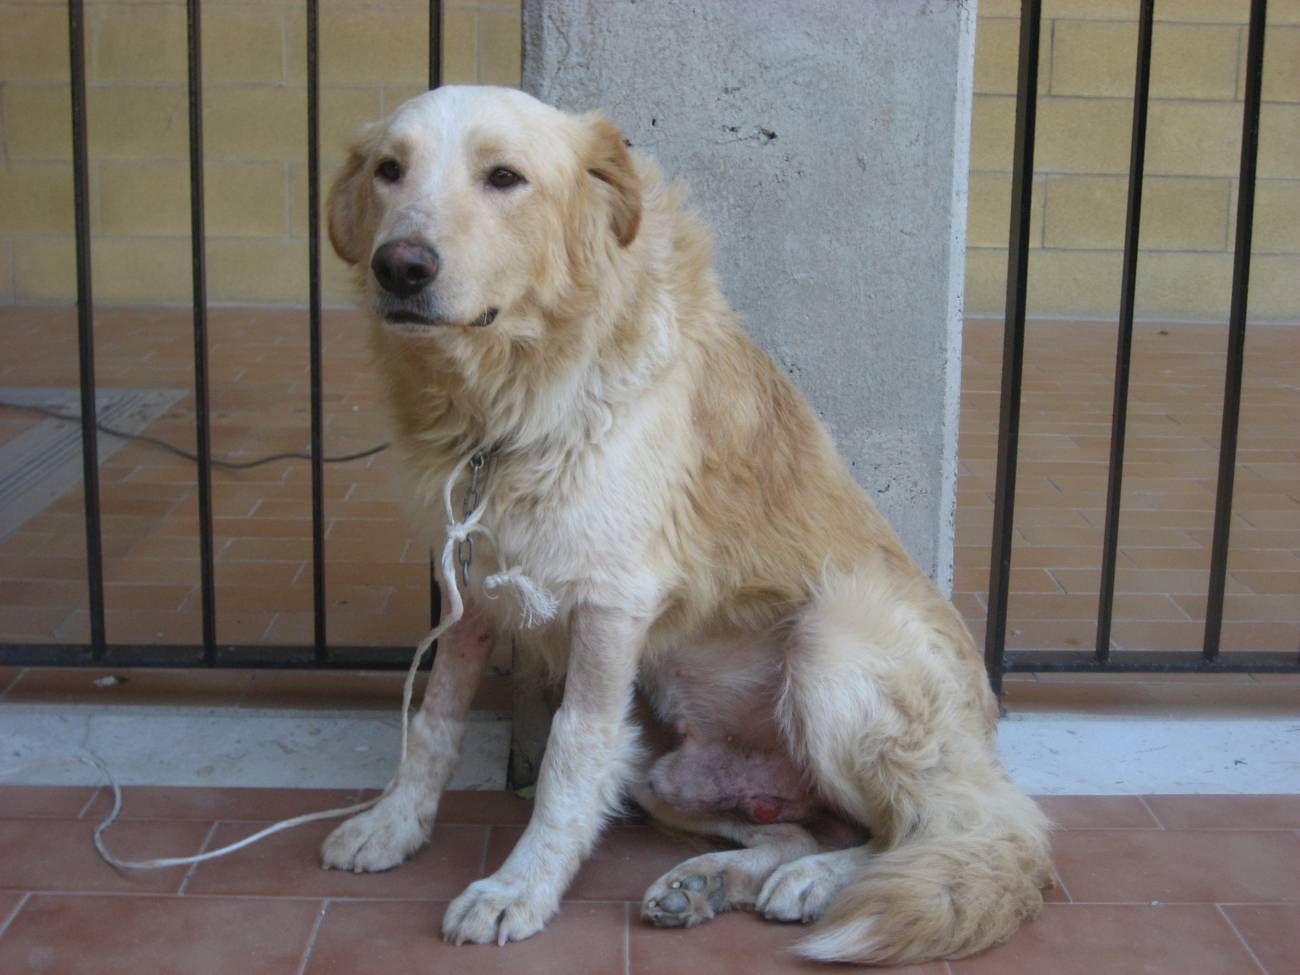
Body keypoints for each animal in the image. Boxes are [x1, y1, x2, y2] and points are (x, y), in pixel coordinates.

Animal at [319, 85, 1050, 972]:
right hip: (663, 769)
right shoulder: (471, 580)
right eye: (390, 170)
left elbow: (568, 759)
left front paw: (519, 889)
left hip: (832, 645)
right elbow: (434, 719)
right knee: (809, 827)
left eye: (504, 177)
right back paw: (710, 881)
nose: (400, 265)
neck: (504, 405)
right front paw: (395, 824)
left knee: (935, 831)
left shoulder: (610, 605)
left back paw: (814, 884)